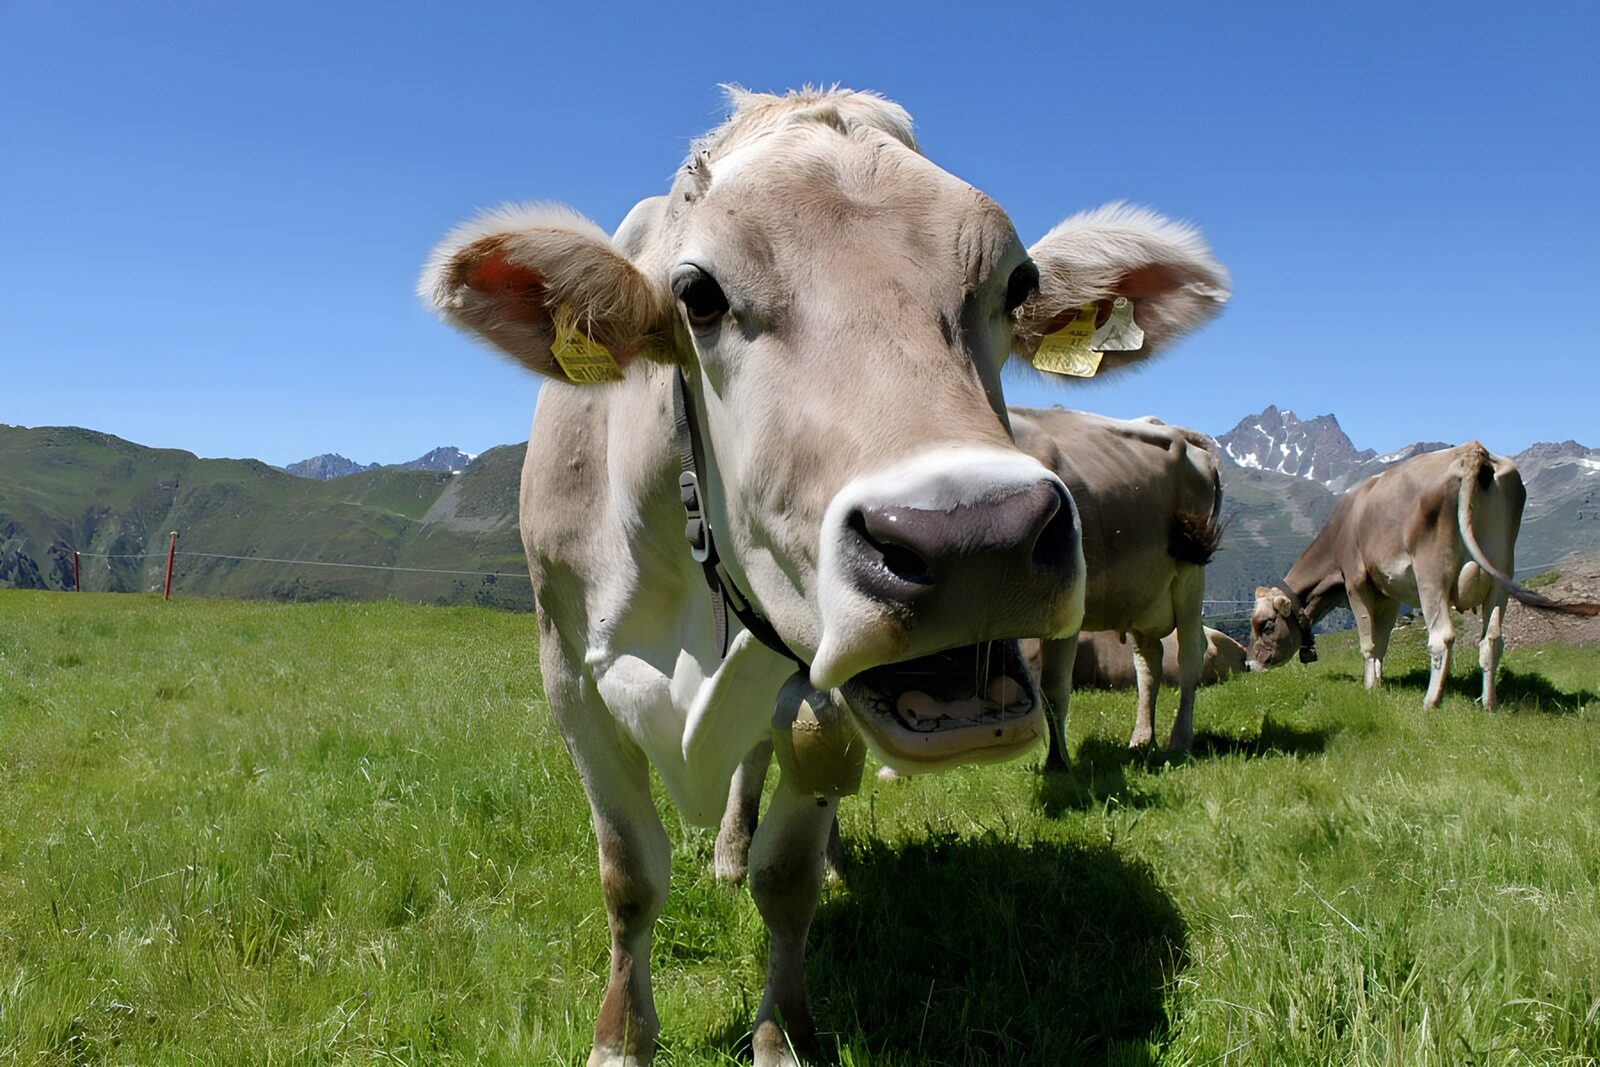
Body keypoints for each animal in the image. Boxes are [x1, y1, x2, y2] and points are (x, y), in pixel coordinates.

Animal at [420, 88, 1229, 1066]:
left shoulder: (812, 691)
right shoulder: (568, 674)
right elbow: (629, 872)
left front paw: (784, 1033)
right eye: (698, 295)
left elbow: (789, 876)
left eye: (1017, 284)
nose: (977, 540)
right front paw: (621, 1036)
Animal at [1247, 441, 1598, 710]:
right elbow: (1382, 642)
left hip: (1432, 574)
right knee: (1492, 639)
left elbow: (1368, 643)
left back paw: (1431, 703)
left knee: (1442, 637)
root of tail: (1474, 451)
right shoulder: (1387, 595)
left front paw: (1369, 688)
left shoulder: (1357, 584)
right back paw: (1488, 704)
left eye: (1266, 626)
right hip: (1501, 572)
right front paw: (1378, 683)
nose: (1250, 665)